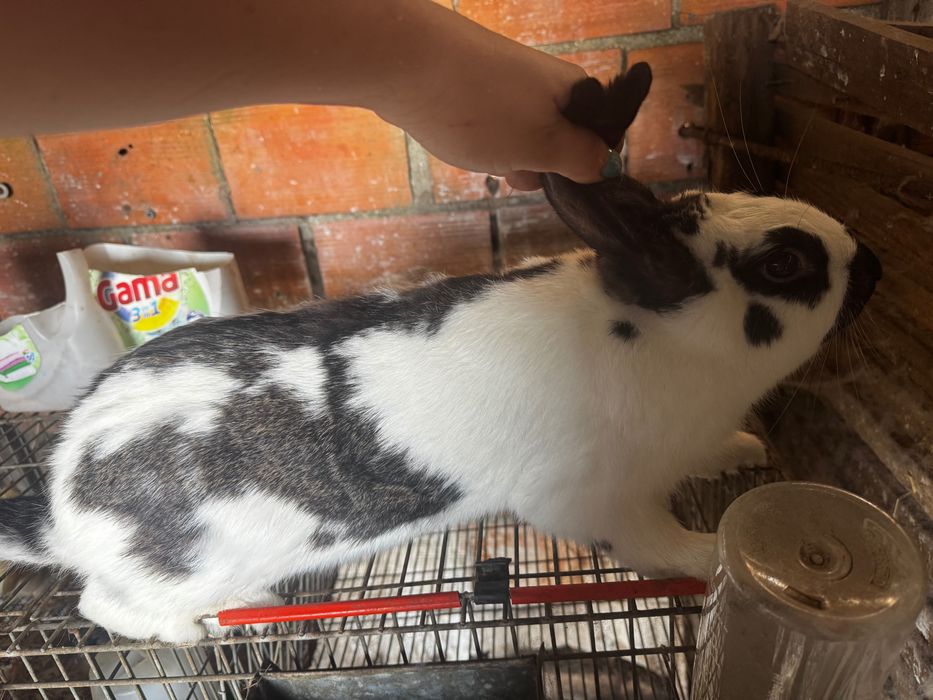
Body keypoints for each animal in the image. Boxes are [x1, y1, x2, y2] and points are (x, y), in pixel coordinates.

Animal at [0, 64, 881, 643]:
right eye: (784, 266)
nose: (869, 260)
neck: (656, 339)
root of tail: (60, 502)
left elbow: (711, 454)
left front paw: (742, 449)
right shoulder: (594, 502)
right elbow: (656, 543)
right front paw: (710, 552)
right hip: (172, 575)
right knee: (104, 608)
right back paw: (209, 629)